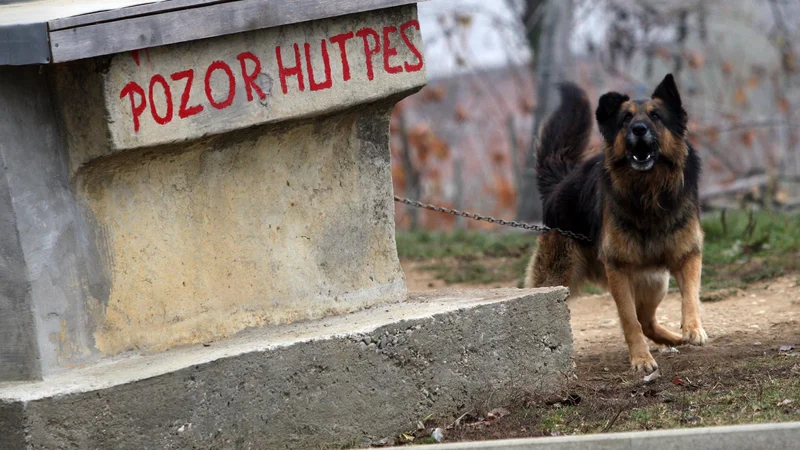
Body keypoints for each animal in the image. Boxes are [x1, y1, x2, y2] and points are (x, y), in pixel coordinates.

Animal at [524, 75, 708, 374]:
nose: (639, 129)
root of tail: (559, 185)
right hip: (557, 278)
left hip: (657, 281)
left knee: (648, 321)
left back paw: (675, 339)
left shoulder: (687, 256)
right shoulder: (618, 271)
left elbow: (690, 297)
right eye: (626, 119)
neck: (647, 194)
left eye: (656, 116)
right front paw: (641, 359)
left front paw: (693, 329)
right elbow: (629, 321)